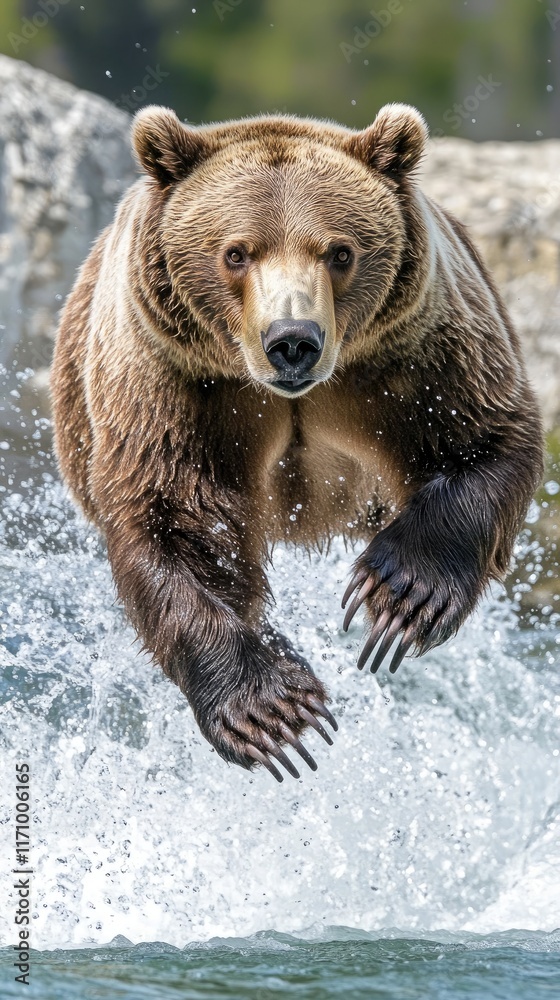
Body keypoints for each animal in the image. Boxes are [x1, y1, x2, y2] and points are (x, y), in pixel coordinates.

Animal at [51, 103, 543, 782]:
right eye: (236, 253)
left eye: (340, 252)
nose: (292, 340)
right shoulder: (174, 379)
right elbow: (172, 516)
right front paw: (270, 709)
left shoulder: (421, 352)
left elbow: (485, 441)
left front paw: (398, 595)